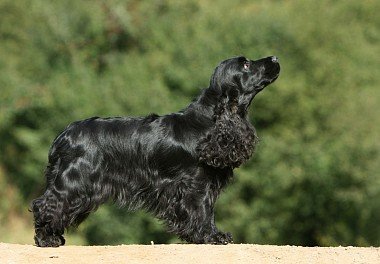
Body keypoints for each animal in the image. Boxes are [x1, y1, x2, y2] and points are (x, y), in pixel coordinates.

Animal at [31, 54, 280, 246]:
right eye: (246, 65)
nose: (275, 58)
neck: (212, 121)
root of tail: (64, 134)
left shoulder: (206, 184)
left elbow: (208, 210)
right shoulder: (196, 184)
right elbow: (203, 209)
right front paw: (211, 236)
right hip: (74, 181)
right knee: (45, 204)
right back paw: (46, 239)